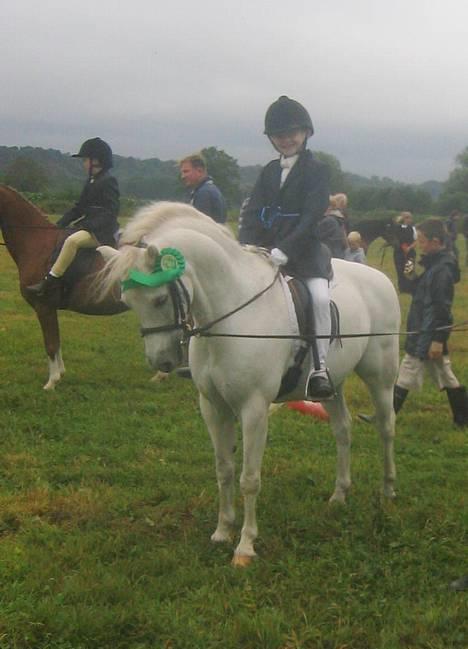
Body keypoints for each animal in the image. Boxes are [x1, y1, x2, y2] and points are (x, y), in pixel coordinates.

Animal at [0, 185, 126, 392]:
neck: (37, 243)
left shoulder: (44, 306)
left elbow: (51, 344)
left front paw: (51, 382)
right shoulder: (50, 309)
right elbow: (56, 342)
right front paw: (60, 374)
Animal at [98, 201, 398, 560]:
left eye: (159, 299)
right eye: (127, 302)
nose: (163, 362)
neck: (229, 316)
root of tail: (380, 278)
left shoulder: (253, 409)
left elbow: (249, 478)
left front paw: (245, 546)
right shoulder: (213, 407)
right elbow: (224, 469)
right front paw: (222, 531)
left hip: (380, 377)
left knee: (386, 427)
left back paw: (387, 492)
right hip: (333, 384)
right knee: (343, 429)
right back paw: (339, 495)